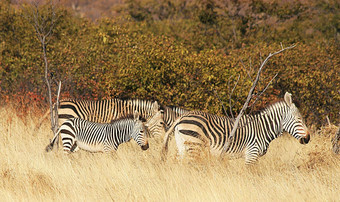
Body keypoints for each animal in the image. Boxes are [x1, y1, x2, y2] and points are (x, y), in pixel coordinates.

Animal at [163, 92, 310, 163]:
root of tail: (181, 117)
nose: (308, 138)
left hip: (183, 145)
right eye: (299, 120)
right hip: (195, 145)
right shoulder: (252, 153)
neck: (263, 129)